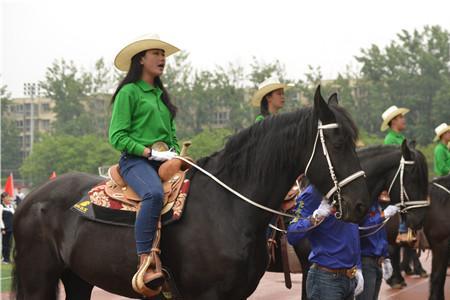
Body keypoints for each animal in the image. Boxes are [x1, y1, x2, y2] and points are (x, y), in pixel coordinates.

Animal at [12, 87, 370, 300]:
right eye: (338, 143)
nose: (361, 205)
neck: (228, 208)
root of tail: (31, 199)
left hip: (78, 278)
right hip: (38, 279)